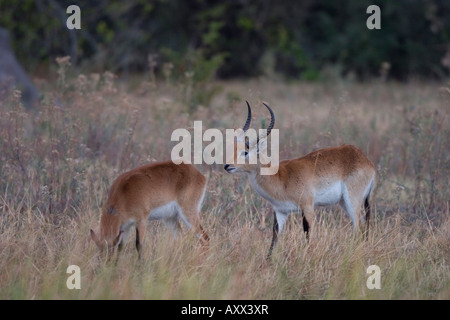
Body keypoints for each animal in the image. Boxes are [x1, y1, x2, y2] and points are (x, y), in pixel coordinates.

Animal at [225, 102, 376, 258]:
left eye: (245, 152)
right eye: (234, 148)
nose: (227, 166)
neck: (281, 178)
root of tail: (365, 159)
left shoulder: (307, 207)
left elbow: (307, 235)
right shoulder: (280, 212)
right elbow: (274, 240)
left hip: (352, 201)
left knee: (359, 227)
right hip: (344, 202)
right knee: (363, 226)